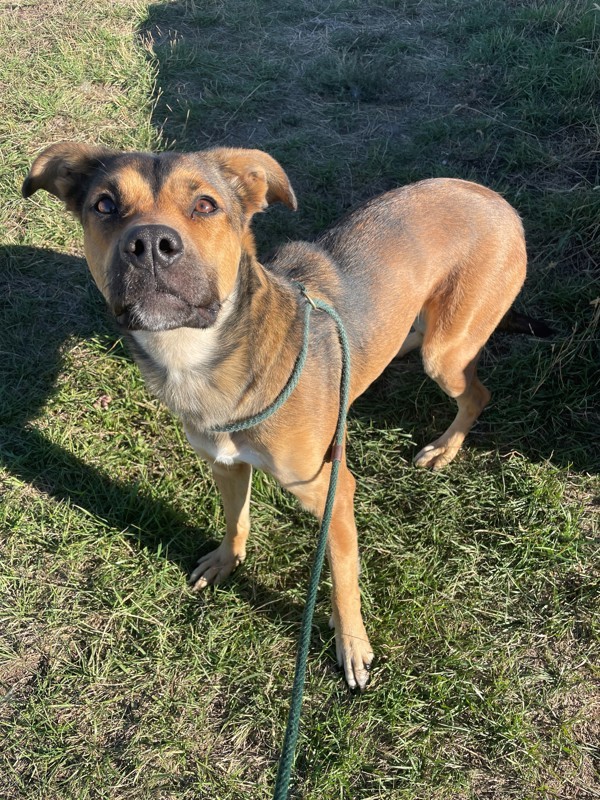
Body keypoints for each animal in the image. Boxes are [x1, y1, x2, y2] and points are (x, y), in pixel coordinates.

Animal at [23, 142, 528, 688]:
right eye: (105, 205)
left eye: (205, 205)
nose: (151, 244)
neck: (202, 359)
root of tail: (496, 199)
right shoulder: (224, 463)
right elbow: (235, 519)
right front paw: (227, 561)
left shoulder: (332, 491)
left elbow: (342, 579)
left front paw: (352, 645)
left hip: (446, 353)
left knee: (477, 394)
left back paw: (444, 448)